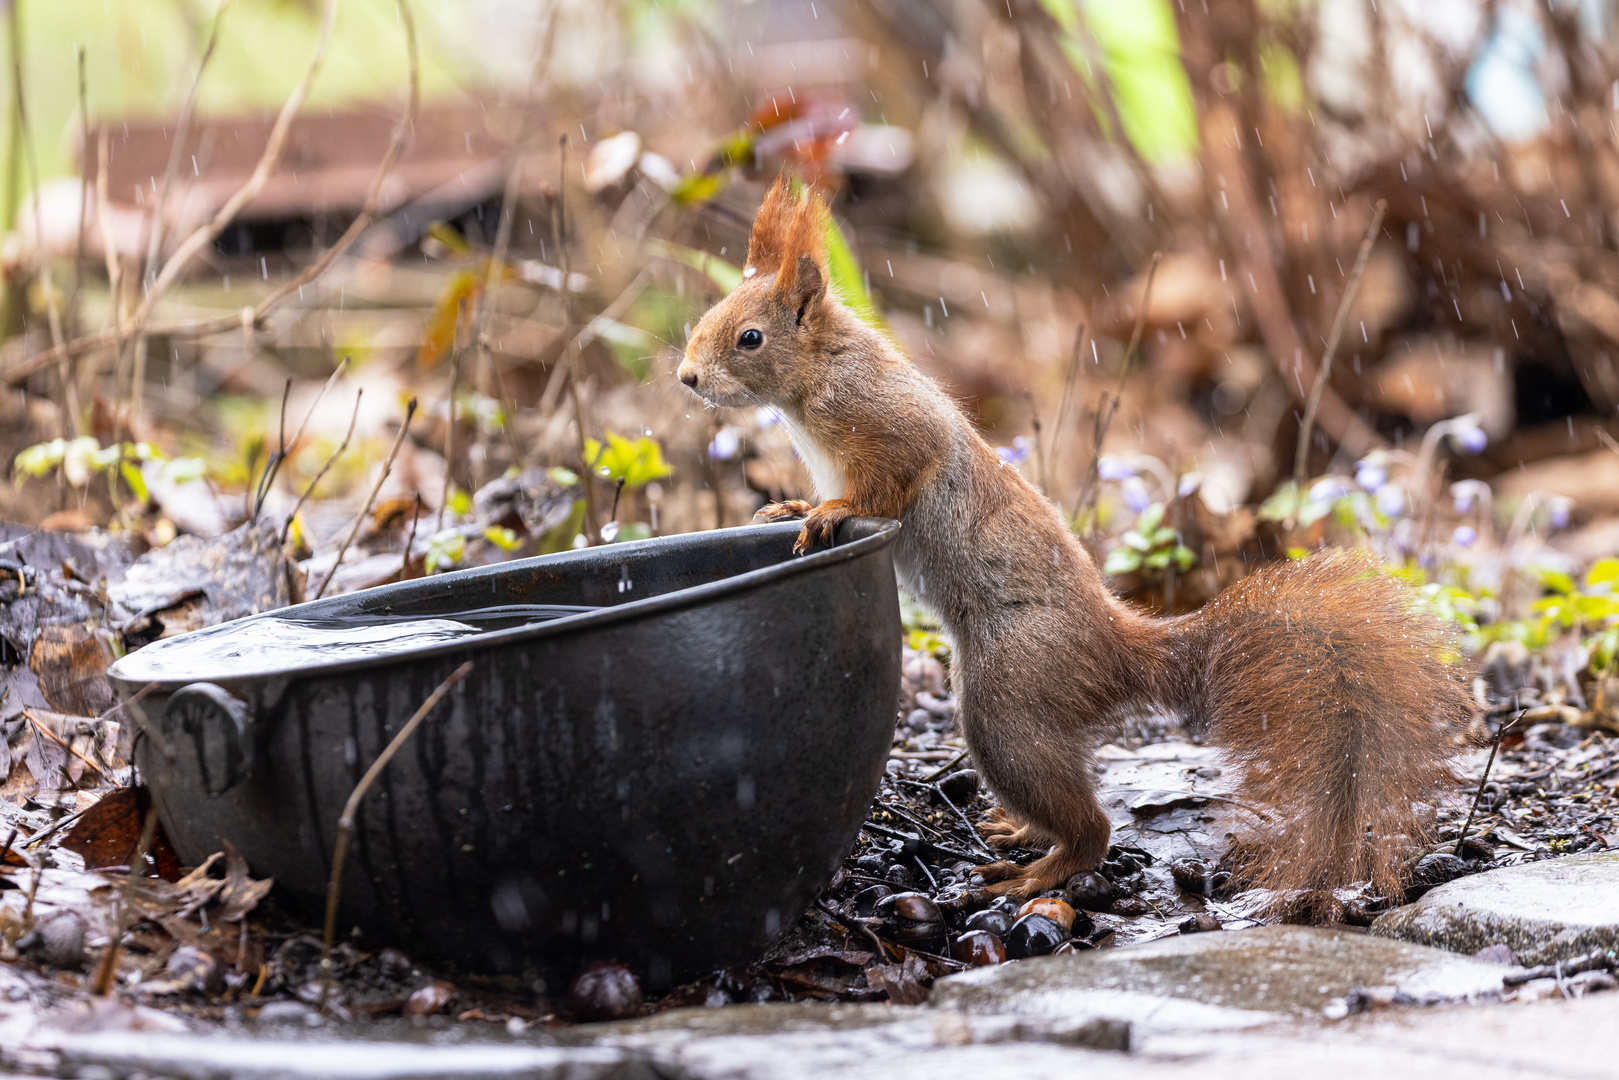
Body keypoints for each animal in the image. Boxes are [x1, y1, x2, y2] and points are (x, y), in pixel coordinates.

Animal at [670, 179, 1470, 906]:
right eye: (704, 319)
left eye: (749, 338)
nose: (686, 378)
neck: (817, 379)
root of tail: (1117, 649)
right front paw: (792, 504)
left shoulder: (888, 424)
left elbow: (892, 479)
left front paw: (828, 511)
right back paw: (1024, 833)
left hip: (1009, 693)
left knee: (1090, 827)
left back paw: (1040, 872)